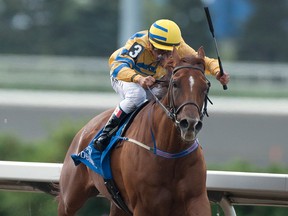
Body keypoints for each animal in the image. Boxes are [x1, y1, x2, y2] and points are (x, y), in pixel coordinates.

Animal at [56, 47, 212, 216]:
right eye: (175, 83)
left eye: (205, 86)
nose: (189, 124)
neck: (170, 151)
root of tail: (84, 130)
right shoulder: (144, 205)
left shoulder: (196, 199)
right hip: (69, 198)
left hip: (118, 205)